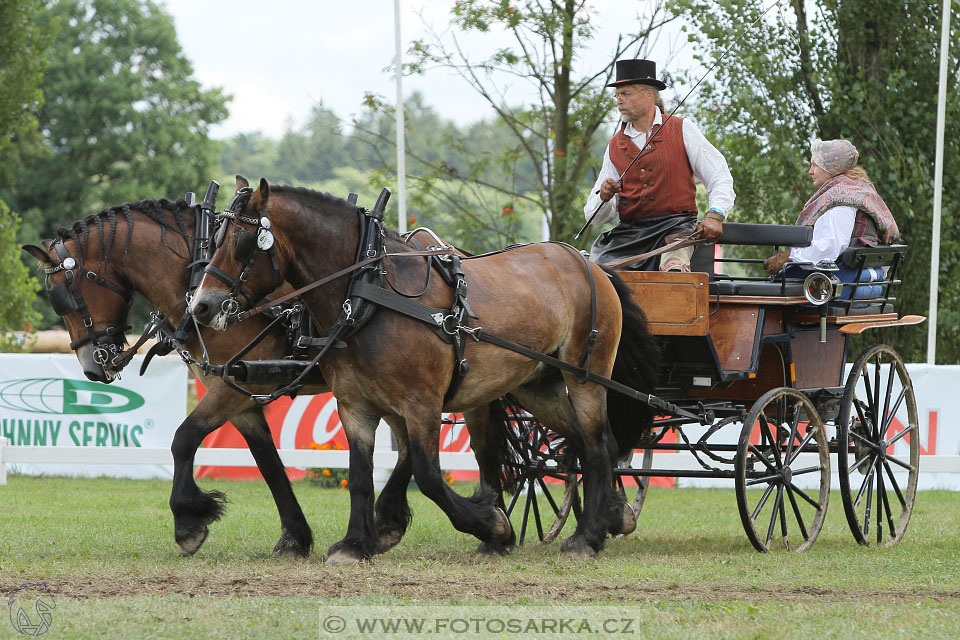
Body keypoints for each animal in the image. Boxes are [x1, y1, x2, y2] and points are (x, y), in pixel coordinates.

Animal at [22, 180, 440, 556]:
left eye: (63, 296)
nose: (94, 368)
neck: (194, 274)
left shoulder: (229, 391)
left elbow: (183, 438)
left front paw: (189, 521)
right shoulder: (239, 397)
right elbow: (268, 464)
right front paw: (295, 537)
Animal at [189, 179, 660, 560]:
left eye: (243, 243)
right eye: (214, 237)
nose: (202, 306)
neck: (367, 293)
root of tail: (587, 263)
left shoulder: (422, 404)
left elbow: (429, 475)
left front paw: (494, 526)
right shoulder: (355, 406)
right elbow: (360, 475)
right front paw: (355, 544)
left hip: (584, 377)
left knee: (596, 444)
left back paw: (586, 538)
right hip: (537, 386)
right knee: (588, 441)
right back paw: (611, 516)